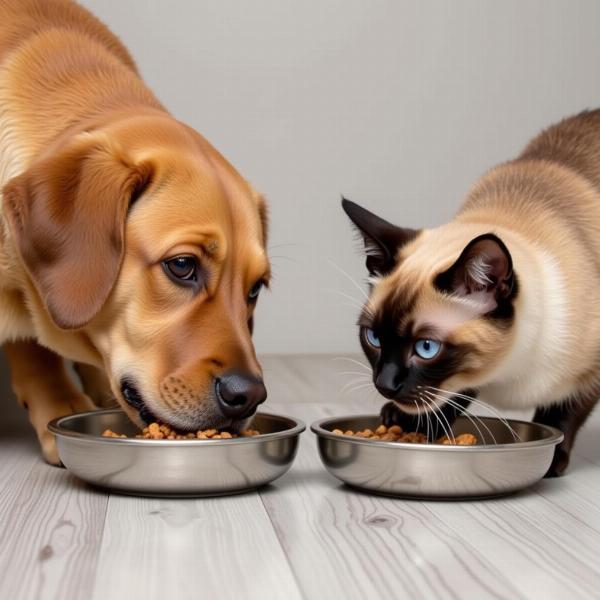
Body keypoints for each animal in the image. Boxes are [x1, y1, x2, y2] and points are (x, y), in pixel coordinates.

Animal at [344, 106, 600, 474]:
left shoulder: (589, 374)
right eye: (374, 338)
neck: (507, 372)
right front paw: (411, 424)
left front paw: (553, 461)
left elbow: (563, 414)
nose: (384, 385)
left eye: (425, 348)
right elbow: (454, 392)